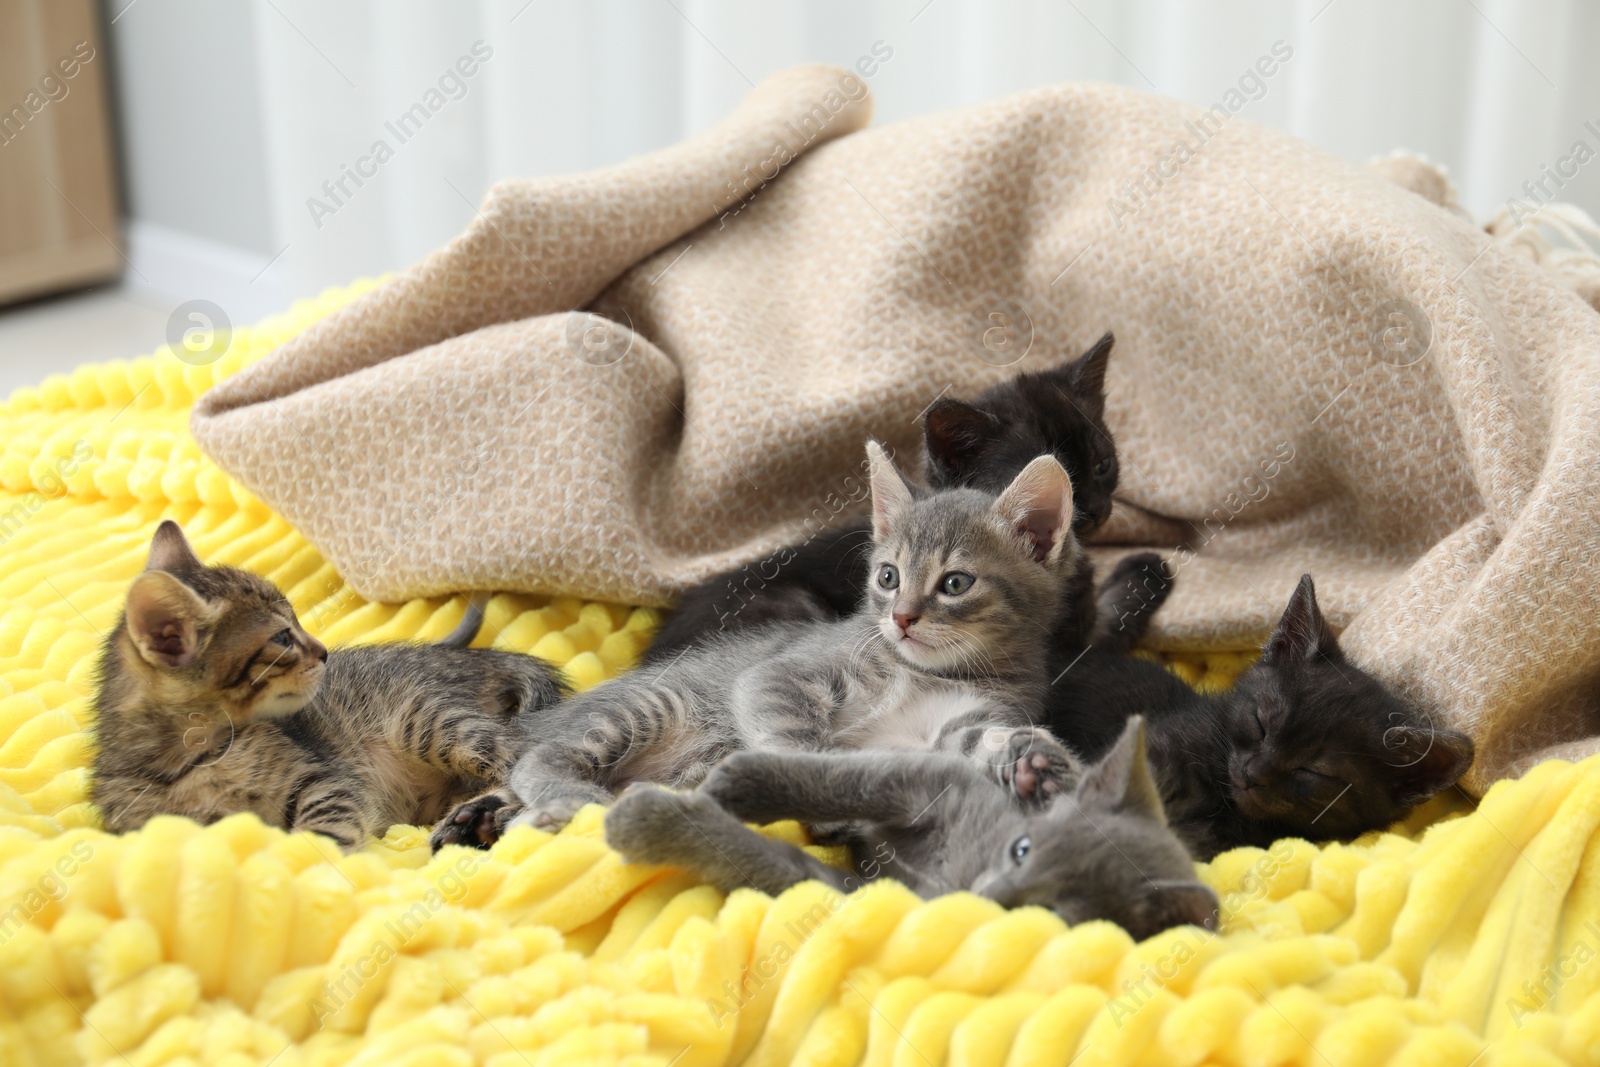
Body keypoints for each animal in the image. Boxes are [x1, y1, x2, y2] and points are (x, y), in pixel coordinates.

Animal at [92, 521, 569, 857]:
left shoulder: (324, 779)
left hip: (426, 721)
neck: (193, 757)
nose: (323, 651)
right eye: (282, 638)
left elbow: (323, 829)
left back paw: (479, 820)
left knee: (529, 762)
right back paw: (474, 822)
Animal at [432, 441, 1088, 851]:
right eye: (888, 576)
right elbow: (797, 740)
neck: (935, 673)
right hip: (650, 705)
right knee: (538, 762)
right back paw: (560, 800)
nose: (901, 618)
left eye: (955, 584)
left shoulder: (958, 724)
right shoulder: (785, 675)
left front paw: (1035, 764)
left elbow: (982, 740)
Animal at [604, 716, 1216, 940]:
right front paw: (736, 783)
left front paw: (651, 821)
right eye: (1021, 849)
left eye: (1052, 913)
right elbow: (845, 779)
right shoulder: (935, 780)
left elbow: (771, 863)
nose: (990, 894)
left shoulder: (874, 892)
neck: (965, 863)